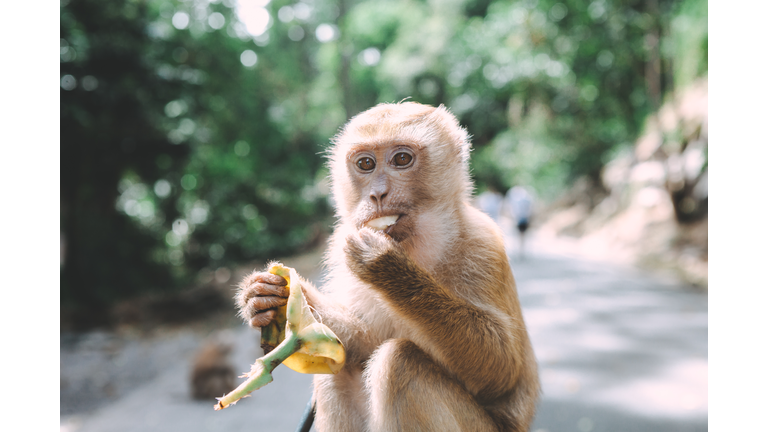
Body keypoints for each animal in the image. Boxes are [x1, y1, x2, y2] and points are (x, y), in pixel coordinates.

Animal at [236, 103, 540, 430]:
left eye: (402, 159)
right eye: (366, 164)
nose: (377, 194)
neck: (416, 246)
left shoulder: (483, 245)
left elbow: (502, 372)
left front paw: (387, 267)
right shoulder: (341, 242)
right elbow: (364, 342)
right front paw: (263, 296)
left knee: (400, 362)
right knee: (338, 372)